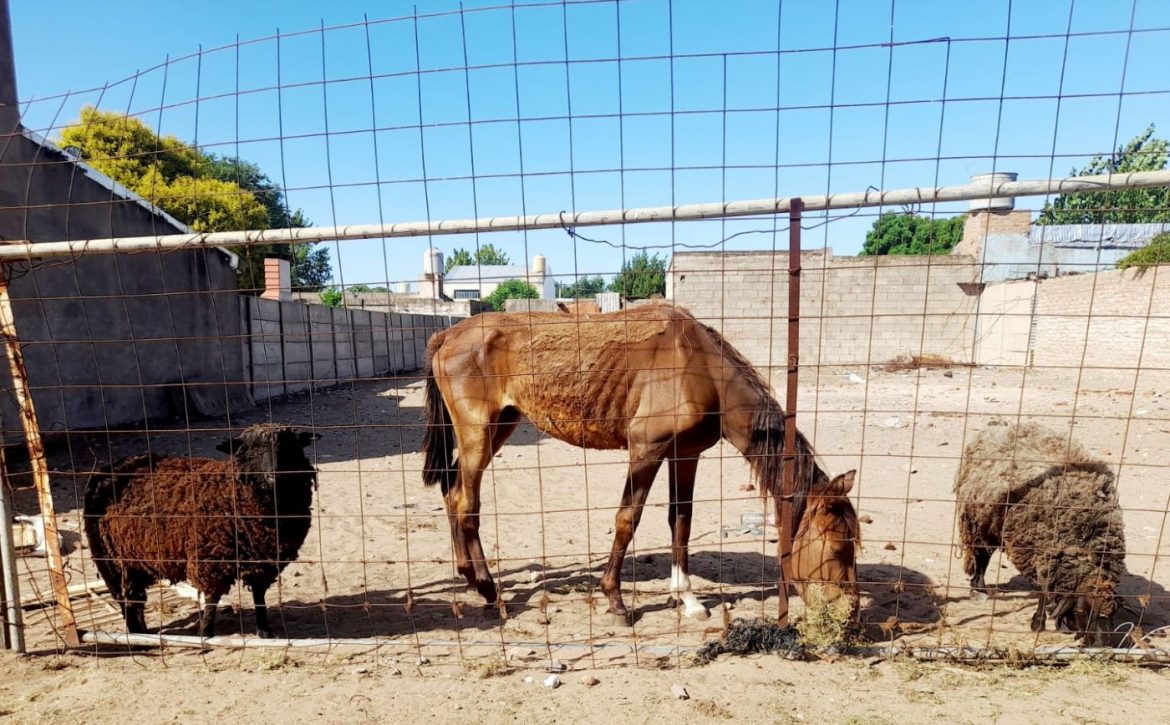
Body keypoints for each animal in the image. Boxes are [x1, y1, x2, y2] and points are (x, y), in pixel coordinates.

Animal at [83, 424, 319, 638]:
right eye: (252, 451)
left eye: (290, 449)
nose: (275, 476)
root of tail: (112, 467)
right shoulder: (211, 561)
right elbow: (212, 600)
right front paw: (206, 633)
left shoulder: (263, 562)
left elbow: (259, 597)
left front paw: (264, 631)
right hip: (109, 559)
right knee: (124, 597)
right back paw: (136, 633)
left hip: (134, 560)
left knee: (133, 596)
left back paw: (141, 630)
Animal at [422, 304, 859, 625]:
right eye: (840, 546)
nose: (850, 613)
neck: (699, 367)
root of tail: (446, 336)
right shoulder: (646, 450)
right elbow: (627, 519)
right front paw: (615, 601)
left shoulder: (685, 455)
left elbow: (680, 521)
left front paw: (687, 598)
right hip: (478, 434)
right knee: (466, 503)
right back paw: (487, 588)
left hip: (500, 427)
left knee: (453, 494)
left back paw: (469, 576)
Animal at [954, 422, 1126, 646]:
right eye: (1081, 611)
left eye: (1113, 613)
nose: (1102, 645)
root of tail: (1004, 425)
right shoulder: (1042, 554)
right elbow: (1044, 593)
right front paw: (1038, 623)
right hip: (978, 521)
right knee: (982, 555)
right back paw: (979, 588)